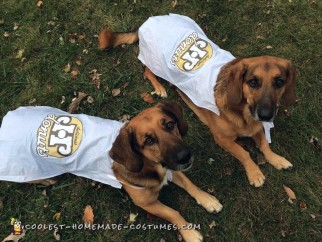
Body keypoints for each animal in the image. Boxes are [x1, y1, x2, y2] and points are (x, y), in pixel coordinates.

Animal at [98, 13, 296, 187]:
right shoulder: (222, 139)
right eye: (253, 82)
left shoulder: (256, 128)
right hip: (154, 64)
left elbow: (264, 144)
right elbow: (243, 153)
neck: (243, 113)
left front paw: (276, 159)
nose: (266, 115)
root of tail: (148, 21)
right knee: (146, 71)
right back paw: (159, 88)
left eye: (279, 82)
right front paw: (254, 173)